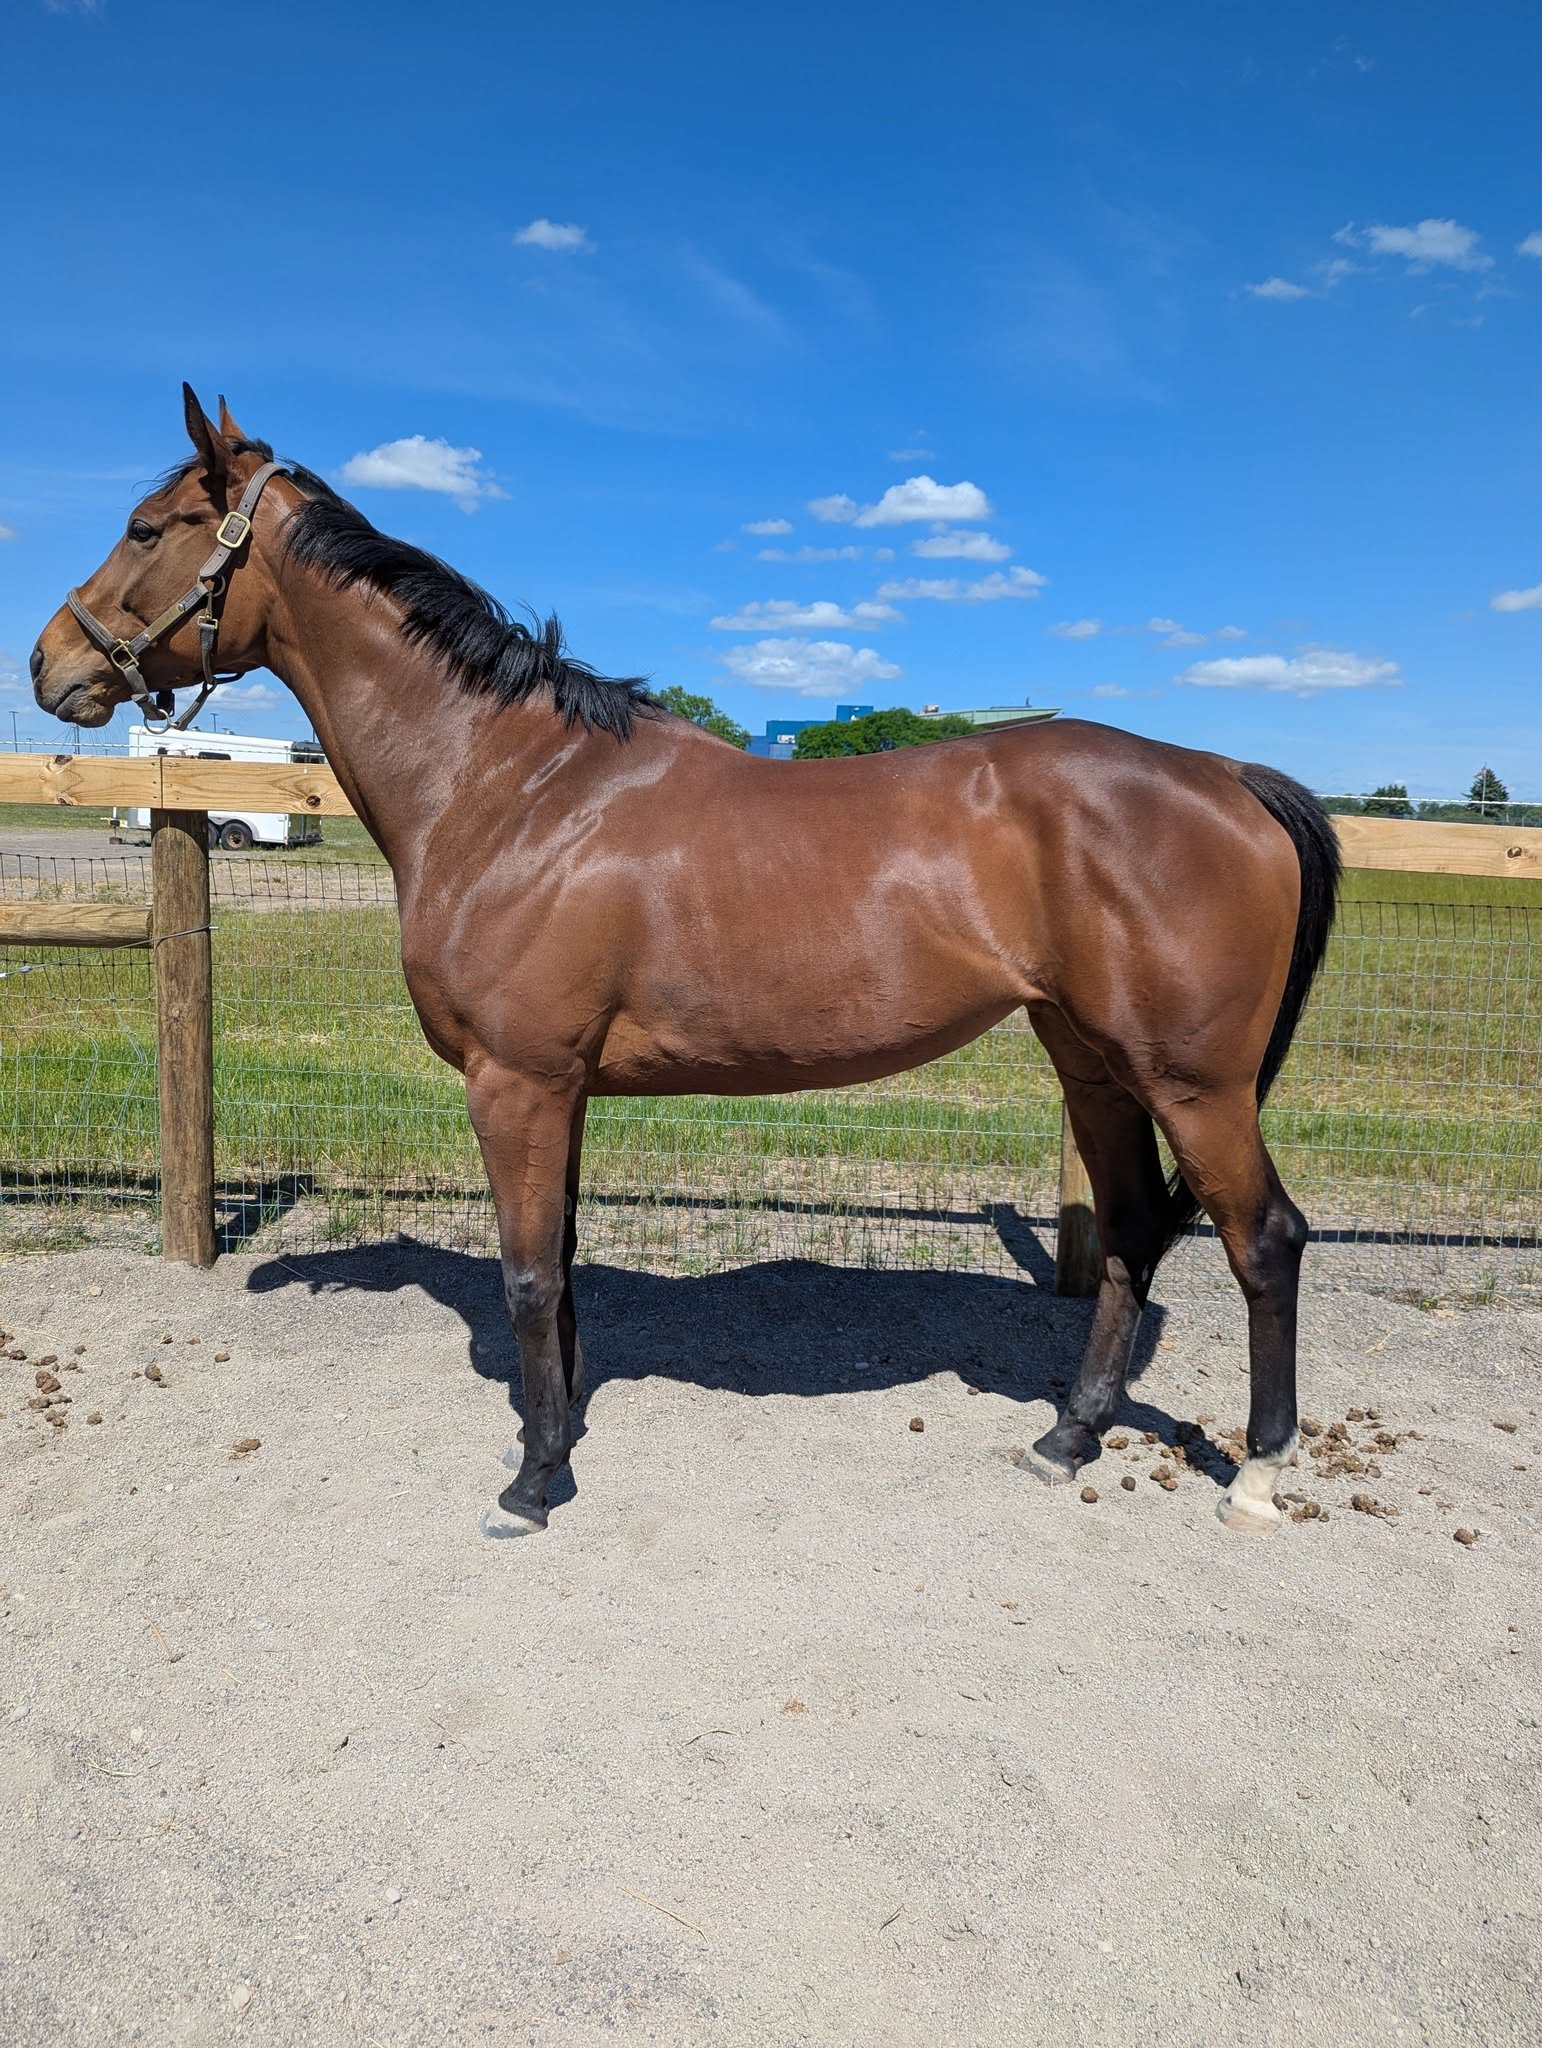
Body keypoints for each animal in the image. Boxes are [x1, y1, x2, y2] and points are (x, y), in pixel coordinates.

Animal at [31, 386, 1340, 1541]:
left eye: (148, 527)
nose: (51, 665)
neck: (511, 785)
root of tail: (1231, 777)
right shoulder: (559, 1089)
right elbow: (559, 1267)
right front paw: (556, 1440)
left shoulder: (516, 1082)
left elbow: (525, 1275)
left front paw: (530, 1485)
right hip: (1094, 1063)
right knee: (1126, 1232)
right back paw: (1066, 1436)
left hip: (1195, 1084)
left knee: (1264, 1238)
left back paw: (1257, 1474)